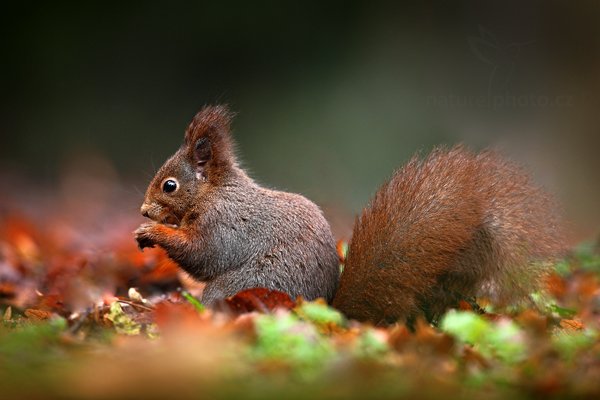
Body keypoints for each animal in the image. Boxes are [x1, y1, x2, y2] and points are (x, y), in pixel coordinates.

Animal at [134, 104, 564, 324]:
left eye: (170, 185)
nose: (142, 209)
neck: (214, 192)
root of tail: (328, 311)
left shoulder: (225, 222)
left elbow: (205, 255)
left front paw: (154, 233)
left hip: (242, 287)